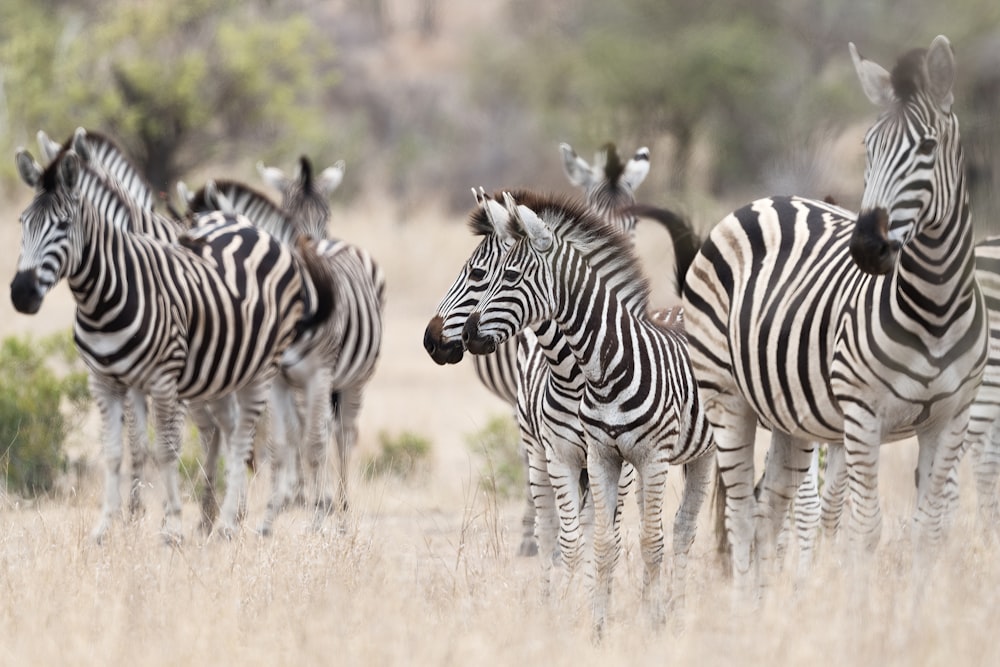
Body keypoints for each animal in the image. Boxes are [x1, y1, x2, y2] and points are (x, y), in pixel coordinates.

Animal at [11, 146, 332, 544]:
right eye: (23, 222)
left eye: (63, 225)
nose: (21, 293)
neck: (104, 297)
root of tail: (255, 229)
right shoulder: (105, 381)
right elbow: (117, 452)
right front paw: (108, 527)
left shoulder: (165, 381)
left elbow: (167, 450)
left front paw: (171, 526)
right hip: (226, 369)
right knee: (233, 432)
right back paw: (225, 515)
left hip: (264, 369)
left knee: (253, 437)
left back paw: (234, 521)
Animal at [182, 176, 384, 532]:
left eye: (214, 237)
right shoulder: (274, 378)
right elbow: (277, 444)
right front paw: (268, 516)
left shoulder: (316, 374)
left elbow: (312, 444)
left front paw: (315, 518)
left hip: (353, 380)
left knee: (344, 436)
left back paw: (341, 511)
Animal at [464, 190, 716, 636]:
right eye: (486, 275)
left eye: (508, 277)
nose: (468, 334)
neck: (606, 366)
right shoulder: (599, 456)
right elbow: (599, 542)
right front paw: (596, 625)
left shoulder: (650, 458)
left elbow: (650, 542)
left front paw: (652, 624)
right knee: (679, 527)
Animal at [684, 34, 988, 588]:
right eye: (868, 146)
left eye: (927, 148)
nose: (866, 245)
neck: (933, 309)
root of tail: (765, 199)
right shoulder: (864, 415)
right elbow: (865, 529)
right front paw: (861, 606)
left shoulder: (950, 418)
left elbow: (930, 530)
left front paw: (916, 602)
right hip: (725, 396)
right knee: (741, 515)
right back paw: (745, 605)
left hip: (788, 416)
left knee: (768, 510)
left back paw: (771, 605)